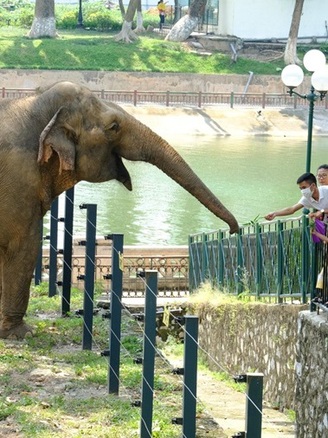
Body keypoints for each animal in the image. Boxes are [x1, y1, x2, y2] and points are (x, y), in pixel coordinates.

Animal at [0, 80, 238, 338]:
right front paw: (22, 334)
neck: (35, 103)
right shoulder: (19, 181)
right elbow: (23, 246)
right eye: (114, 126)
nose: (234, 230)